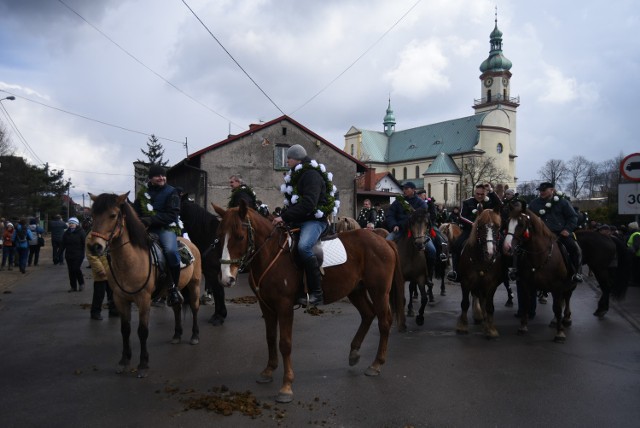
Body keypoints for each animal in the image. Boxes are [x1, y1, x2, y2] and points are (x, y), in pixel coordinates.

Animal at [85, 194, 200, 378]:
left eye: (113, 215)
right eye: (93, 215)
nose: (94, 246)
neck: (131, 260)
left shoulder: (144, 300)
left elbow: (142, 331)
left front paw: (143, 364)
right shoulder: (120, 299)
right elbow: (125, 329)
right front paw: (124, 362)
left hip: (194, 285)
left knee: (195, 308)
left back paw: (194, 336)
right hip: (173, 290)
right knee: (177, 307)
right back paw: (176, 335)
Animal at [214, 201, 404, 404]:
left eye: (240, 237)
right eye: (219, 237)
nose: (226, 278)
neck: (271, 254)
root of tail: (384, 241)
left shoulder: (284, 306)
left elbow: (285, 343)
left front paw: (286, 386)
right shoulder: (265, 305)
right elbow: (270, 338)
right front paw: (268, 370)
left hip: (379, 292)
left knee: (384, 322)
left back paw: (376, 364)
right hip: (356, 290)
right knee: (368, 314)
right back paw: (354, 353)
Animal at [456, 206, 504, 340]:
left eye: (498, 227)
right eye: (480, 227)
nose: (490, 253)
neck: (482, 260)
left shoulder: (491, 284)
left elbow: (489, 306)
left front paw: (490, 329)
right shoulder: (466, 282)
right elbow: (465, 303)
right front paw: (462, 326)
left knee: (481, 299)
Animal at [504, 204, 576, 344]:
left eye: (521, 224)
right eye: (508, 222)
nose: (507, 247)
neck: (541, 256)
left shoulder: (557, 285)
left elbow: (557, 308)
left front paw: (560, 333)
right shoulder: (526, 283)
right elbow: (526, 303)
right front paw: (523, 326)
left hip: (570, 283)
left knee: (567, 297)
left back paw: (566, 318)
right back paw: (556, 320)